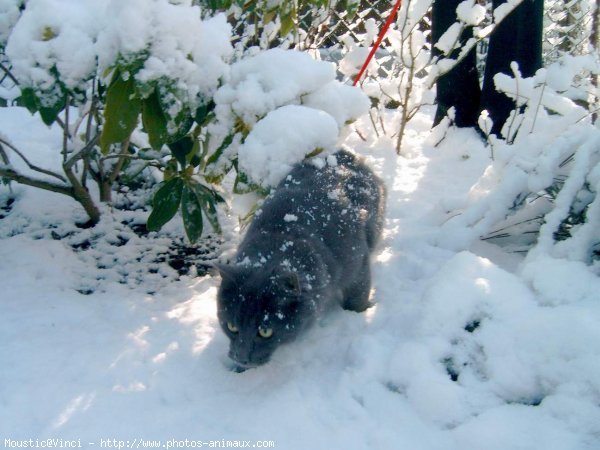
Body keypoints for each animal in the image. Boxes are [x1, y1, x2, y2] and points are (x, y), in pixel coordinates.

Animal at [216, 149, 384, 370]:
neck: (281, 239)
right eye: (232, 327)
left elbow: (357, 294)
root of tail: (344, 153)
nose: (240, 357)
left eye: (265, 331)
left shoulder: (358, 264)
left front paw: (357, 314)